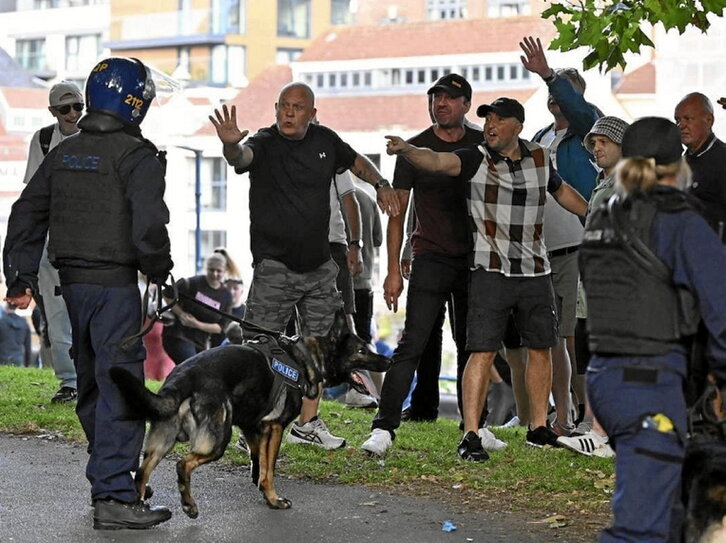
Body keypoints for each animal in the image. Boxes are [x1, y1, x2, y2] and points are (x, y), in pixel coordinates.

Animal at [110, 310, 390, 520]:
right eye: (362, 351)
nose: (388, 362)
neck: (304, 359)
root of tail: (182, 378)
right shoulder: (274, 428)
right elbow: (269, 468)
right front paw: (274, 499)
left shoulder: (253, 427)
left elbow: (258, 461)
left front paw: (262, 489)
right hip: (216, 440)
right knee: (183, 464)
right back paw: (188, 504)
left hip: (161, 443)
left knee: (142, 472)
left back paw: (140, 508)